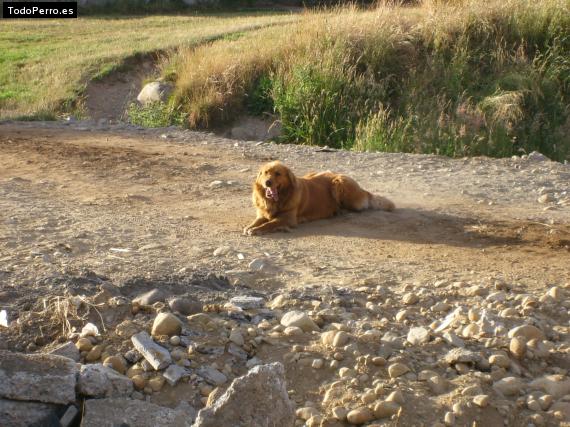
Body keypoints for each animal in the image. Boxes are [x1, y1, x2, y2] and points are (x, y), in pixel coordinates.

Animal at [242, 160, 392, 236]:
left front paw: (257, 230)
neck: (276, 200)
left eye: (278, 173)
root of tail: (363, 190)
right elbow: (257, 221)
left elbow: (270, 223)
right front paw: (250, 227)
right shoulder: (262, 214)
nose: (267, 182)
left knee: (356, 207)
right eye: (265, 173)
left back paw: (339, 211)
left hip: (339, 183)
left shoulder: (288, 218)